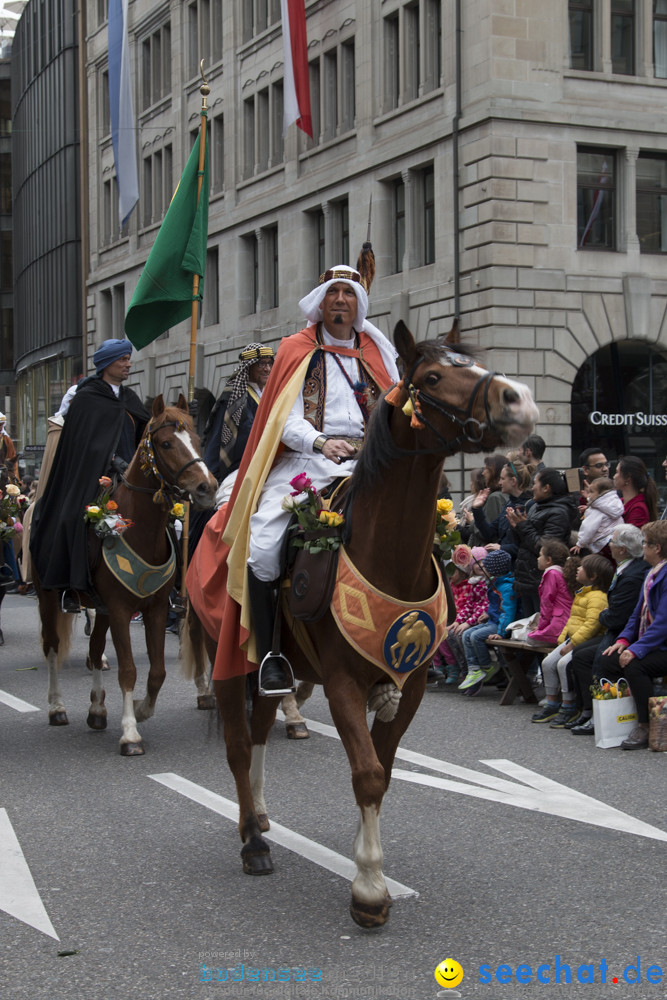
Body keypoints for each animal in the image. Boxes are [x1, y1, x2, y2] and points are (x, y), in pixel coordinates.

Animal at [34, 394, 217, 752]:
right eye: (166, 443)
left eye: (198, 438)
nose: (207, 487)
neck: (139, 531)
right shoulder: (120, 609)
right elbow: (129, 669)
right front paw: (130, 732)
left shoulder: (154, 608)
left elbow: (157, 671)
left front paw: (141, 709)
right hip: (48, 596)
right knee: (51, 647)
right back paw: (57, 707)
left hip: (100, 607)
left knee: (94, 651)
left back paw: (97, 709)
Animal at [204, 324, 536, 924]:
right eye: (433, 376)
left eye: (472, 365)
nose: (517, 400)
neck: (386, 554)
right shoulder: (342, 683)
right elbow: (367, 773)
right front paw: (370, 890)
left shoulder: (411, 686)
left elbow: (381, 771)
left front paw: (367, 864)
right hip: (228, 656)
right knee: (240, 746)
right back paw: (254, 844)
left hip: (272, 666)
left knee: (260, 729)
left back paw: (258, 816)